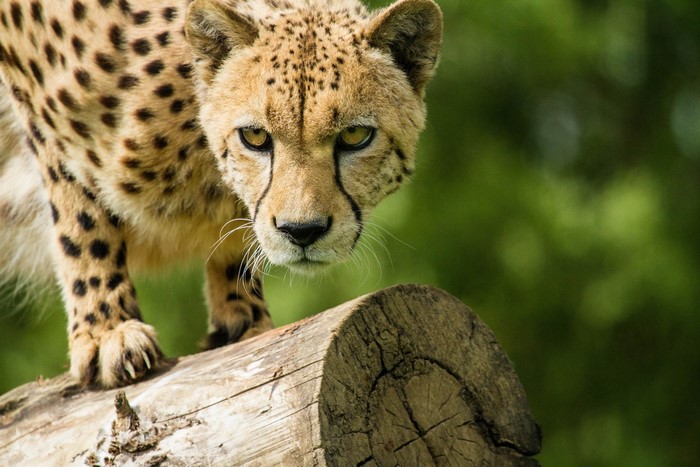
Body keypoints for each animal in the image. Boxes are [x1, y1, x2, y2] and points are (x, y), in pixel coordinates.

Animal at [0, 0, 442, 388]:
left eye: (355, 135)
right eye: (255, 136)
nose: (302, 231)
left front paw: (243, 320)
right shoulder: (36, 104)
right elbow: (80, 219)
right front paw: (107, 330)